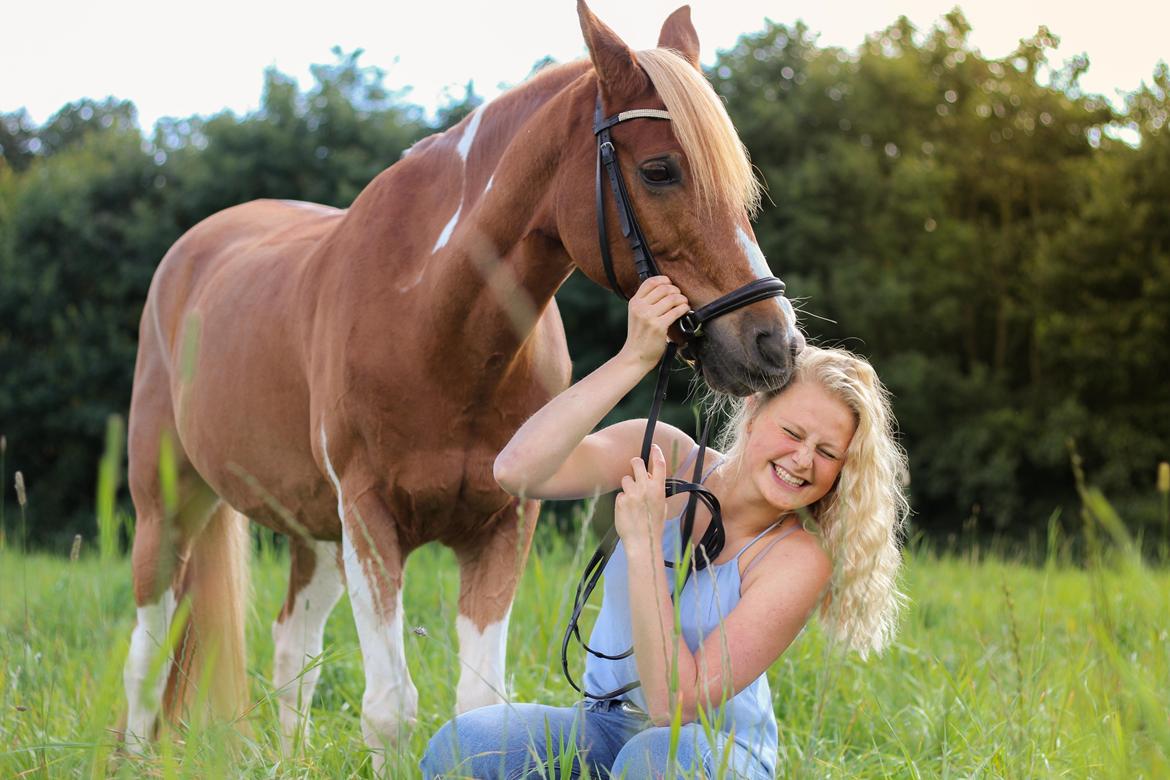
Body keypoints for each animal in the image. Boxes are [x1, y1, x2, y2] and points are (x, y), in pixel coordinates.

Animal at [121, 0, 802, 769]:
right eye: (659, 170)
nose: (774, 344)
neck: (433, 327)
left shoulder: (501, 525)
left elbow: (478, 706)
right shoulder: (370, 521)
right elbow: (390, 708)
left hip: (314, 534)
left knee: (292, 645)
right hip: (168, 511)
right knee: (146, 651)